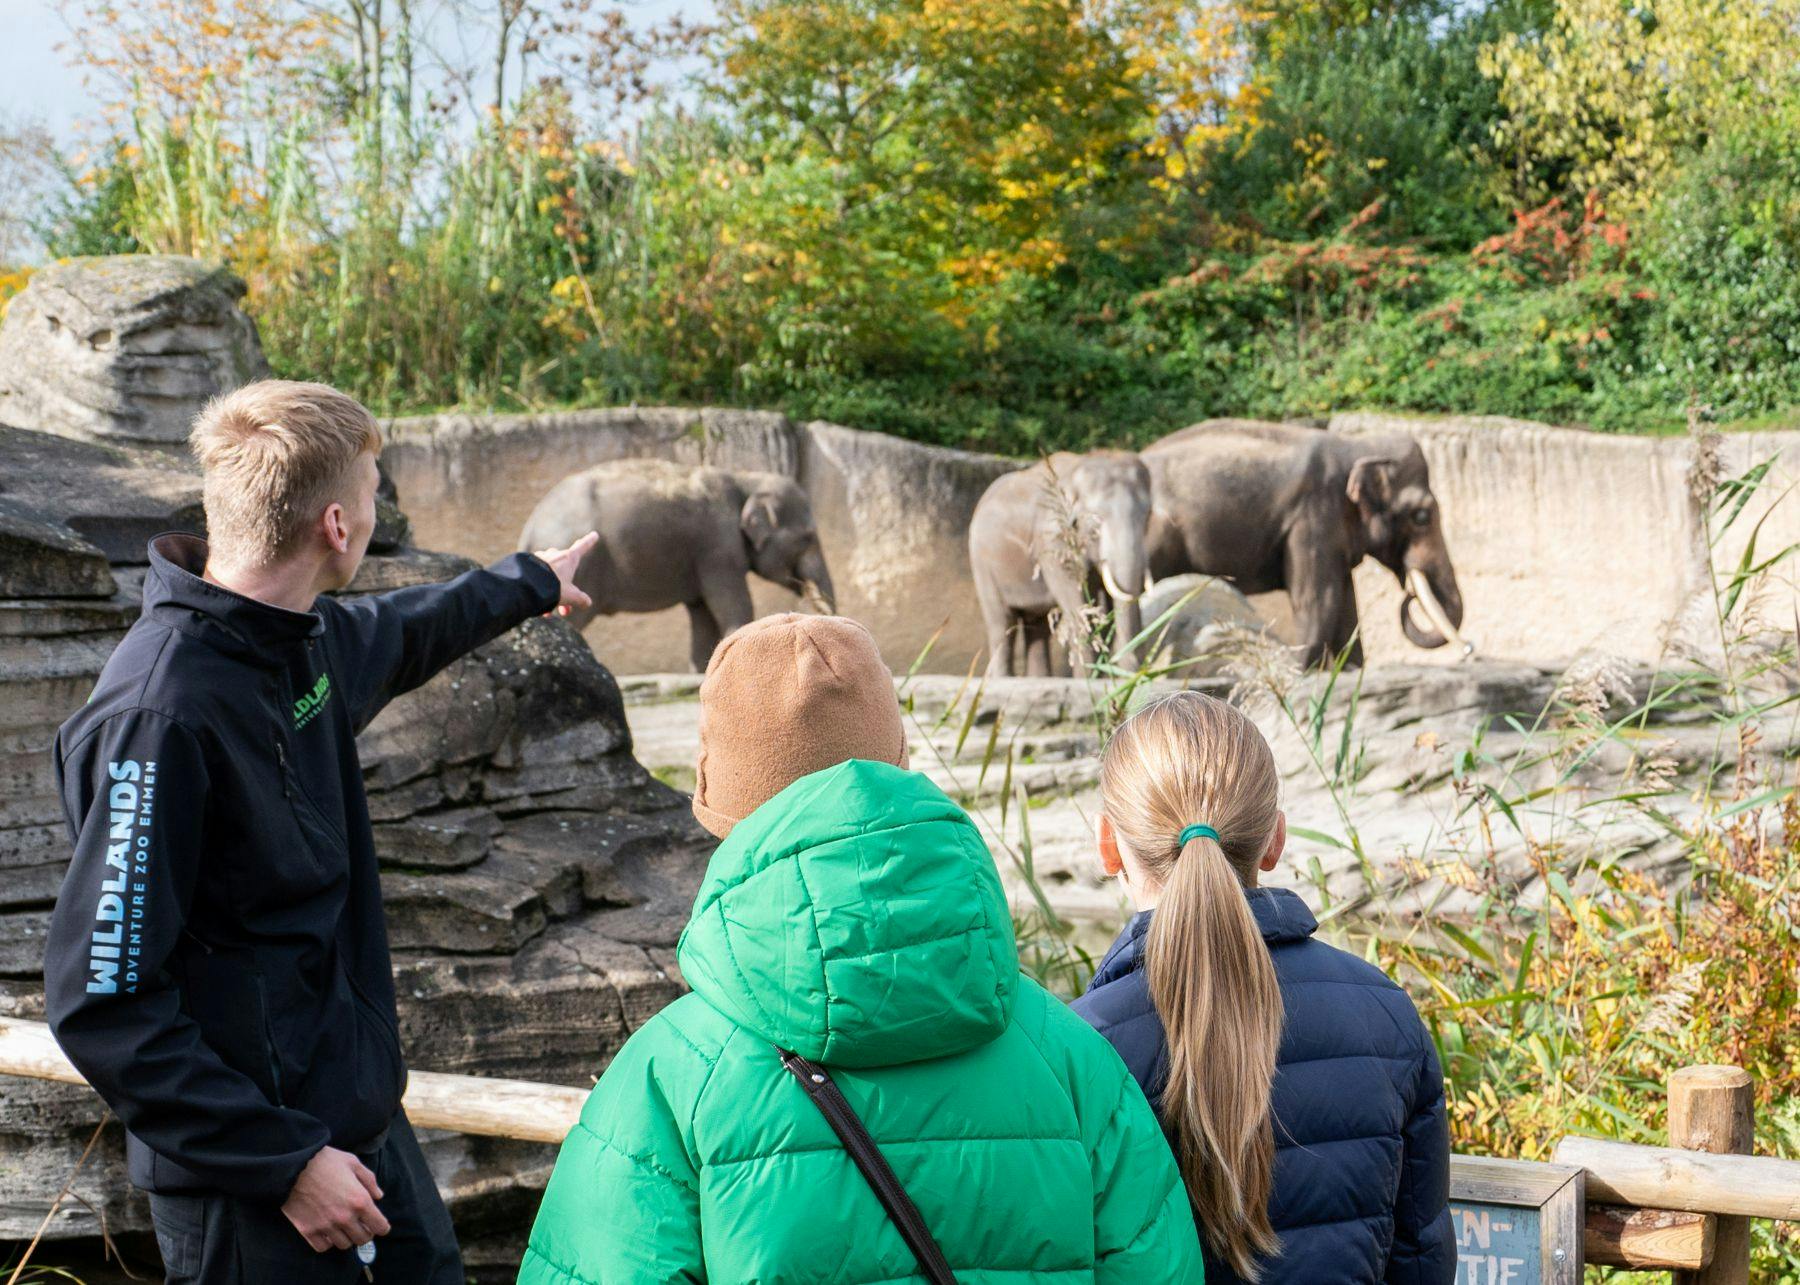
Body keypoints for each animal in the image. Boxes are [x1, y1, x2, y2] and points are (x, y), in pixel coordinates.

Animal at [517, 458, 835, 671]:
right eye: (808, 537)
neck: (745, 480)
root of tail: (530, 526)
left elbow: (703, 615)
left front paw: (703, 670)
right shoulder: (718, 547)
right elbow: (732, 603)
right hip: (582, 569)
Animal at [969, 450, 1152, 678]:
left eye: (1148, 516)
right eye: (1096, 520)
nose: (1137, 674)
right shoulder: (1052, 540)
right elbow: (1076, 606)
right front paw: (1089, 677)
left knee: (1036, 626)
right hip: (982, 562)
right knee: (1001, 621)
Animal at [1141, 419, 1464, 669]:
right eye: (1421, 516)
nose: (1409, 595)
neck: (1355, 445)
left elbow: (1347, 604)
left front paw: (1350, 671)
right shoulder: (1313, 516)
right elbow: (1319, 598)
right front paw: (1303, 672)